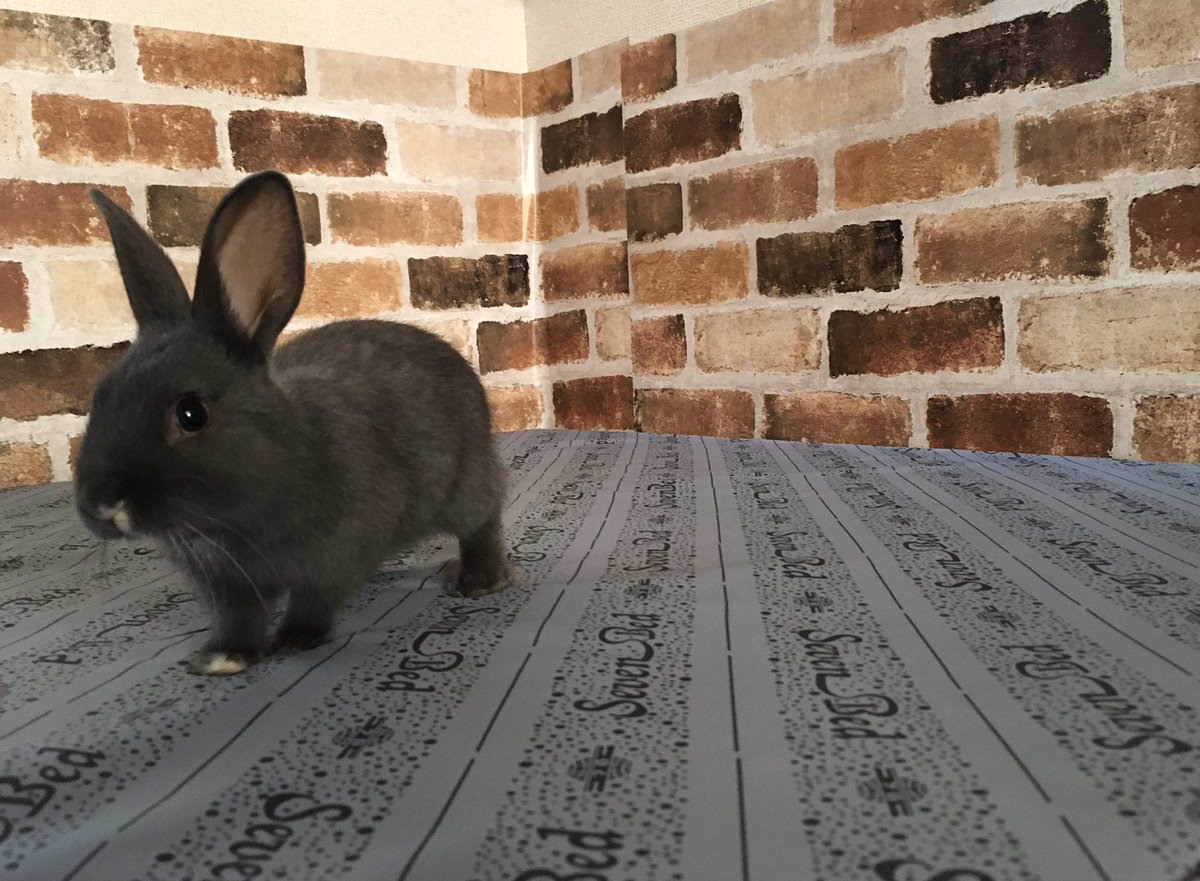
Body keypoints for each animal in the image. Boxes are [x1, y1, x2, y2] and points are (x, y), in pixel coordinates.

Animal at [74, 171, 514, 676]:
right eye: (100, 395)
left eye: (191, 414)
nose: (100, 506)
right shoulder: (227, 586)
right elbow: (240, 619)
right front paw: (222, 658)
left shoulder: (331, 559)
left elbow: (314, 601)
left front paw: (296, 639)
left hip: (466, 482)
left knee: (483, 519)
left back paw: (479, 580)